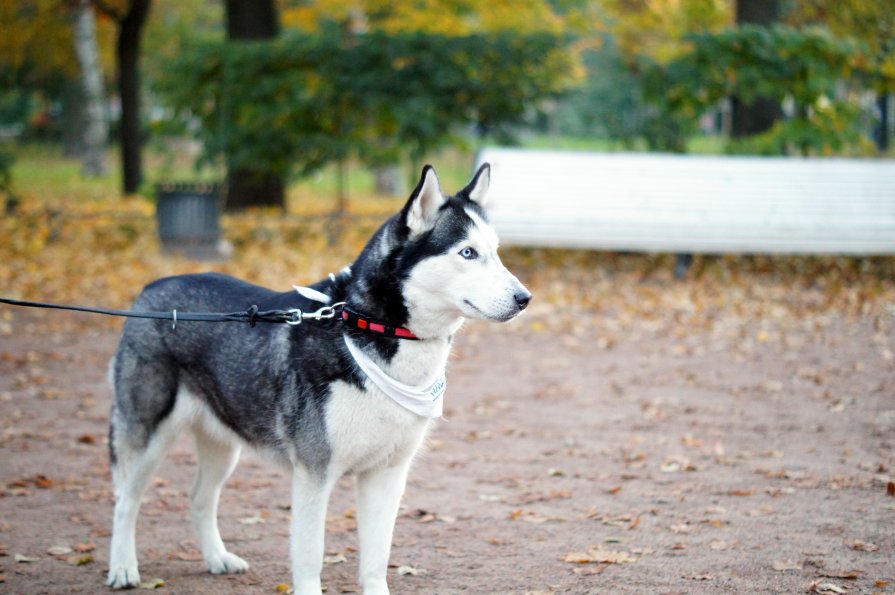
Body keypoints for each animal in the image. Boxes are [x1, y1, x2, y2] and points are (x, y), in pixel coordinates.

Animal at [106, 164, 532, 595]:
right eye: (467, 252)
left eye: (496, 252)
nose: (524, 298)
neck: (369, 331)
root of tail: (151, 287)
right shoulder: (314, 473)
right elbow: (311, 555)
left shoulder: (387, 474)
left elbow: (376, 558)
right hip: (149, 436)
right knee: (126, 500)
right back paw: (123, 568)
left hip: (223, 443)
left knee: (199, 498)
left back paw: (216, 558)